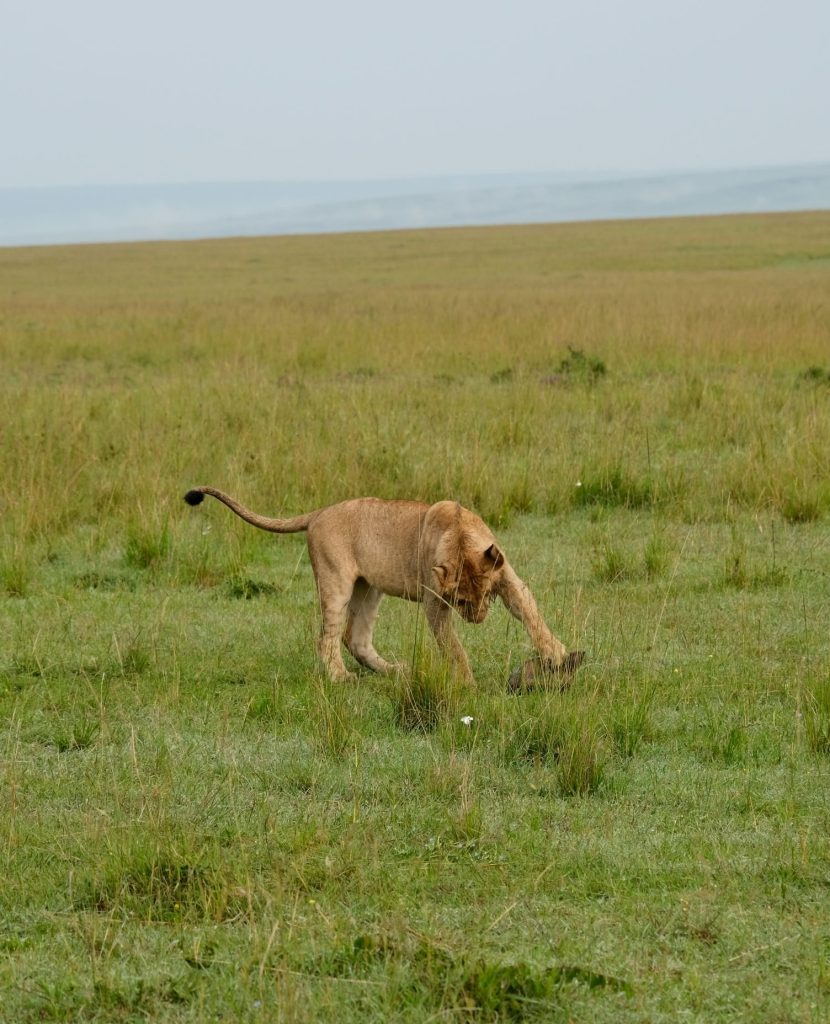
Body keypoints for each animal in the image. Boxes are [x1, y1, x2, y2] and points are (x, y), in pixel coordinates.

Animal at [184, 487, 584, 688]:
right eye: (460, 601)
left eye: (485, 595)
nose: (477, 619)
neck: (459, 535)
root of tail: (319, 512)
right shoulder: (434, 603)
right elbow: (453, 648)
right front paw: (468, 684)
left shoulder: (508, 579)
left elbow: (532, 616)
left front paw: (557, 655)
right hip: (336, 582)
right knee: (328, 637)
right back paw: (340, 677)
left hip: (369, 588)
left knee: (355, 638)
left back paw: (393, 671)